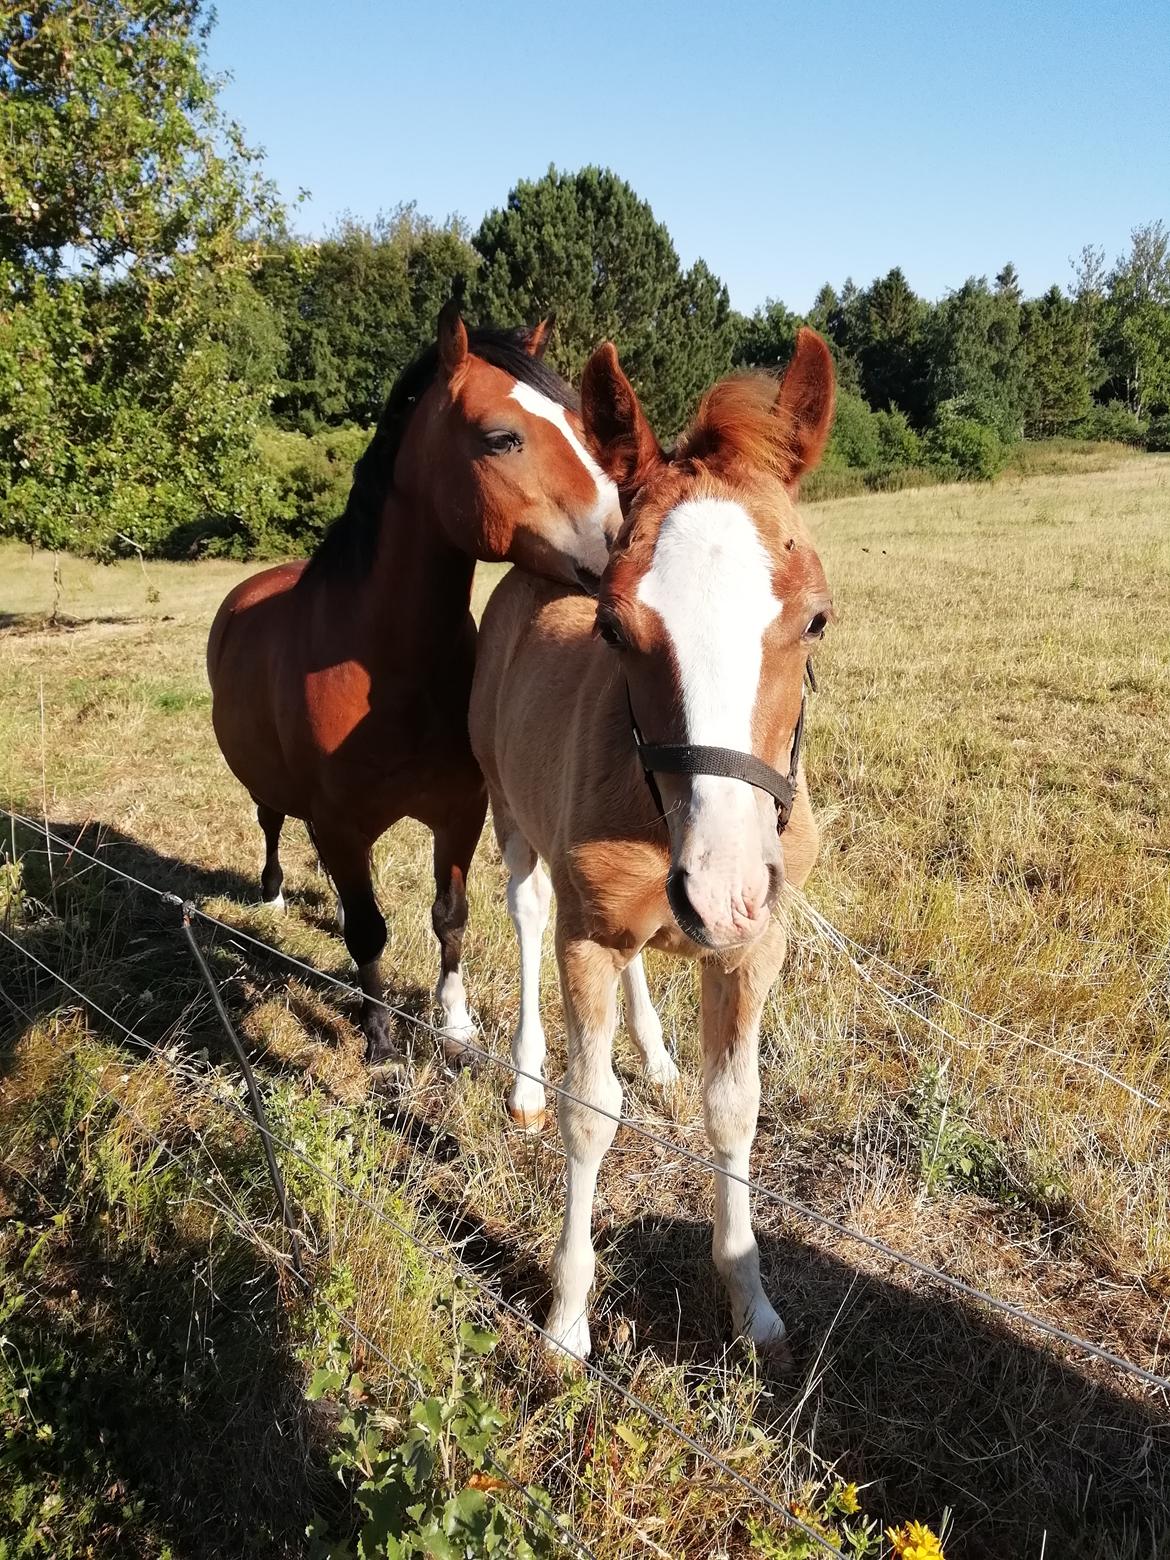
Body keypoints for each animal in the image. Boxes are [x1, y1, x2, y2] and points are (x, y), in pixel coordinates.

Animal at [209, 299, 624, 1067]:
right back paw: (274, 893)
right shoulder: (343, 823)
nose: (627, 543)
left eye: (584, 429)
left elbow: (449, 915)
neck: (388, 671)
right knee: (273, 822)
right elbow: (369, 930)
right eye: (502, 438)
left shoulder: (460, 812)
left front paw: (454, 1024)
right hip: (271, 788)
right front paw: (378, 1037)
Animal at [471, 332, 836, 1366]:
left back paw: (659, 1050)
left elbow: (735, 1104)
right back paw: (523, 1083)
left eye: (816, 618)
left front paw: (752, 1304)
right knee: (525, 916)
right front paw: (565, 1320)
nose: (720, 890)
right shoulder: (588, 937)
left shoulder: (755, 945)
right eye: (613, 625)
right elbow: (592, 1111)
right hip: (511, 820)